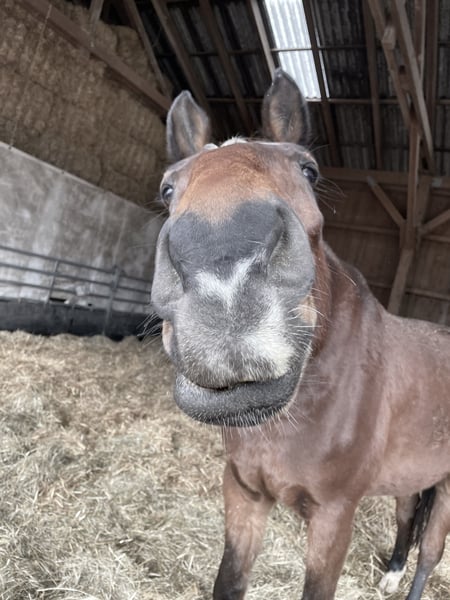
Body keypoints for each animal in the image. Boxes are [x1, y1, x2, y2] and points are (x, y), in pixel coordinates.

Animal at [151, 69, 450, 600]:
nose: (223, 268)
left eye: (308, 170)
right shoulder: (244, 492)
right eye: (168, 188)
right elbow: (229, 581)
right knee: (406, 519)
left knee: (430, 554)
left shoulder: (334, 515)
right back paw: (390, 572)